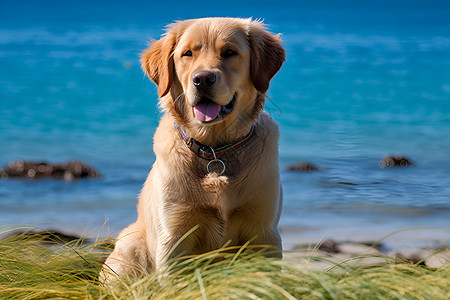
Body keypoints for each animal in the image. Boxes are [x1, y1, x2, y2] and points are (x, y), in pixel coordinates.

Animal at [101, 17, 284, 282]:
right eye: (187, 54)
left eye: (229, 52)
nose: (203, 79)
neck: (215, 150)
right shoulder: (175, 234)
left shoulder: (264, 231)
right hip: (129, 245)